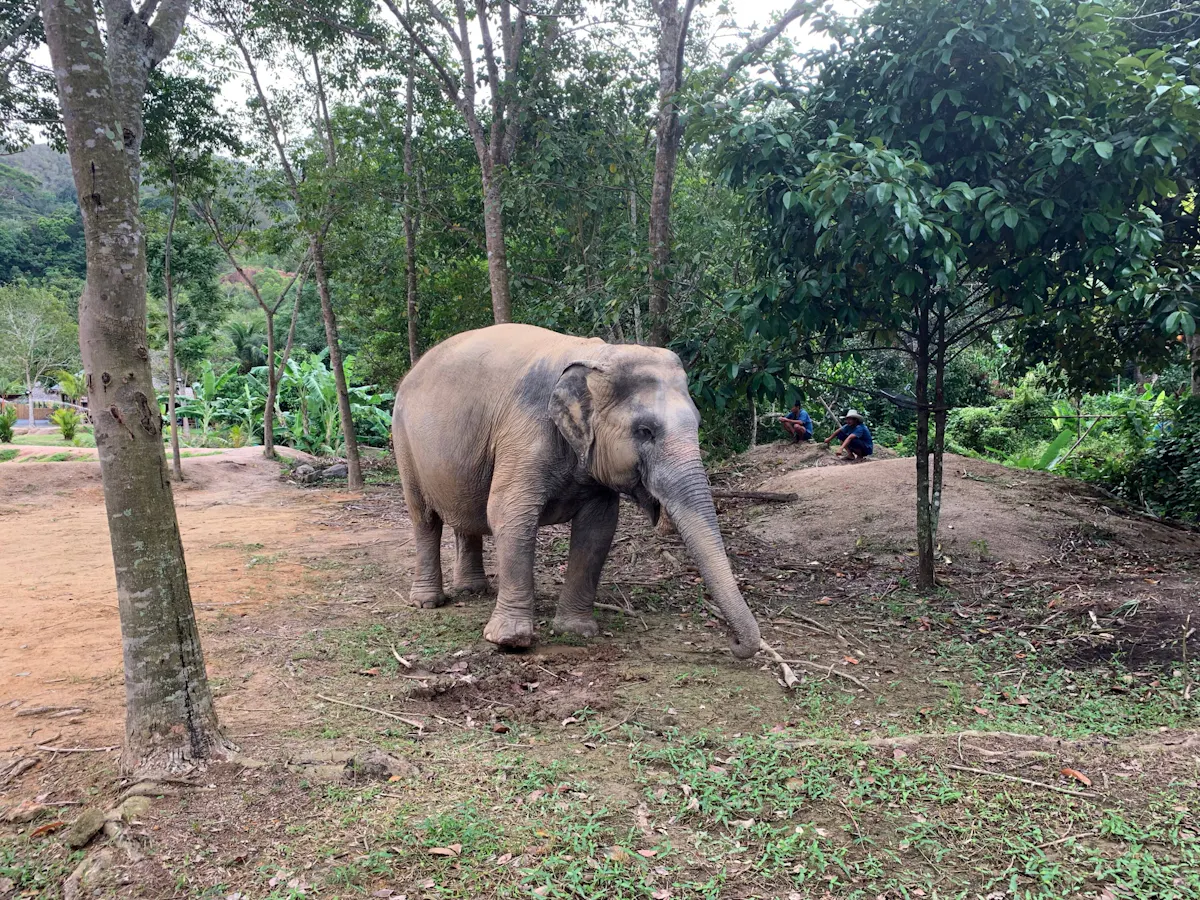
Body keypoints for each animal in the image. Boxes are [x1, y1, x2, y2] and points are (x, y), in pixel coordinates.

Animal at [391, 324, 762, 659]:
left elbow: (598, 528)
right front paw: (510, 641)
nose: (733, 643)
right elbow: (510, 515)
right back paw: (427, 601)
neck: (598, 353)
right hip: (403, 440)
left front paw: (576, 630)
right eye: (644, 431)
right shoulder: (525, 433)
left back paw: (473, 591)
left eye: (697, 424)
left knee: (467, 514)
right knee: (424, 518)